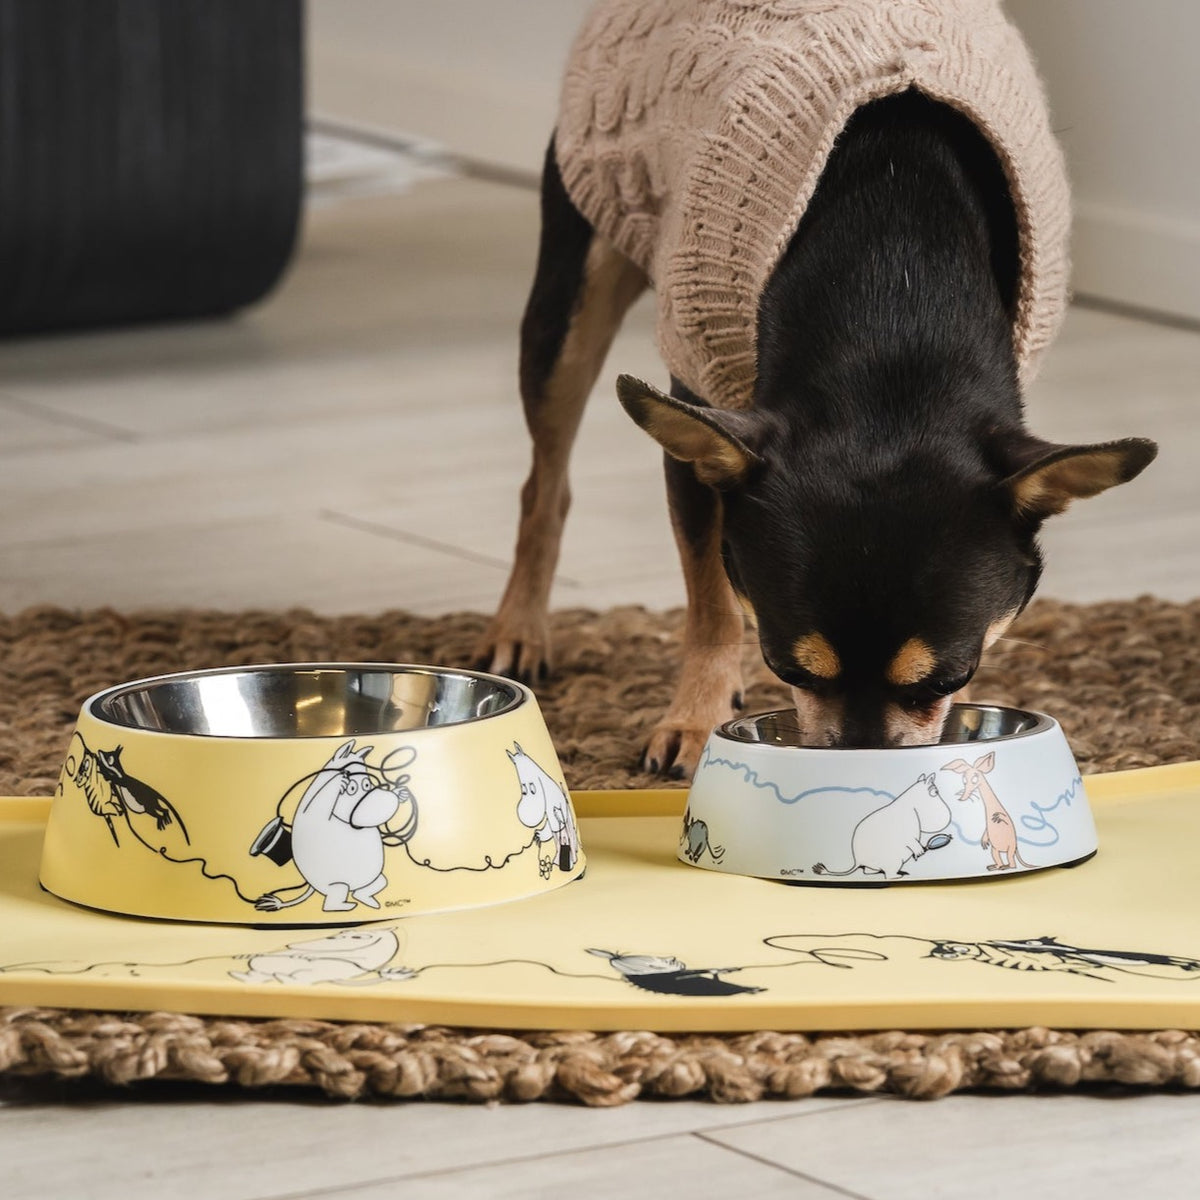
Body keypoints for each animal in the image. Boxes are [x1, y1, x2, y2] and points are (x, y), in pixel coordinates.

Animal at [475, 9, 1152, 777]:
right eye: (787, 668)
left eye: (950, 680)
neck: (896, 306)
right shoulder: (697, 422)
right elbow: (711, 601)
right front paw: (697, 716)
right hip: (575, 279)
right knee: (546, 481)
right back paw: (520, 627)